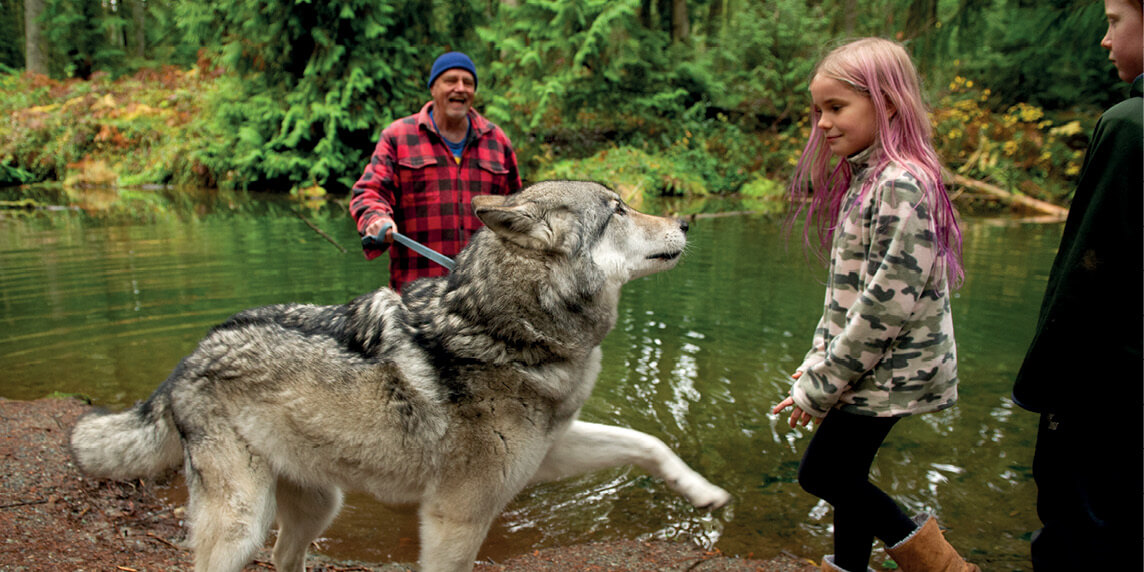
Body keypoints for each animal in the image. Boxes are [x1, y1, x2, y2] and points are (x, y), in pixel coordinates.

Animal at [69, 181, 732, 572]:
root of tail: (188, 358)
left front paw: (704, 493)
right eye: (618, 210)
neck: (507, 328)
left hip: (318, 507)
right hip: (241, 524)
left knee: (286, 557)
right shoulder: (455, 519)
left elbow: (647, 443)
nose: (688, 221)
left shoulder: (550, 454)